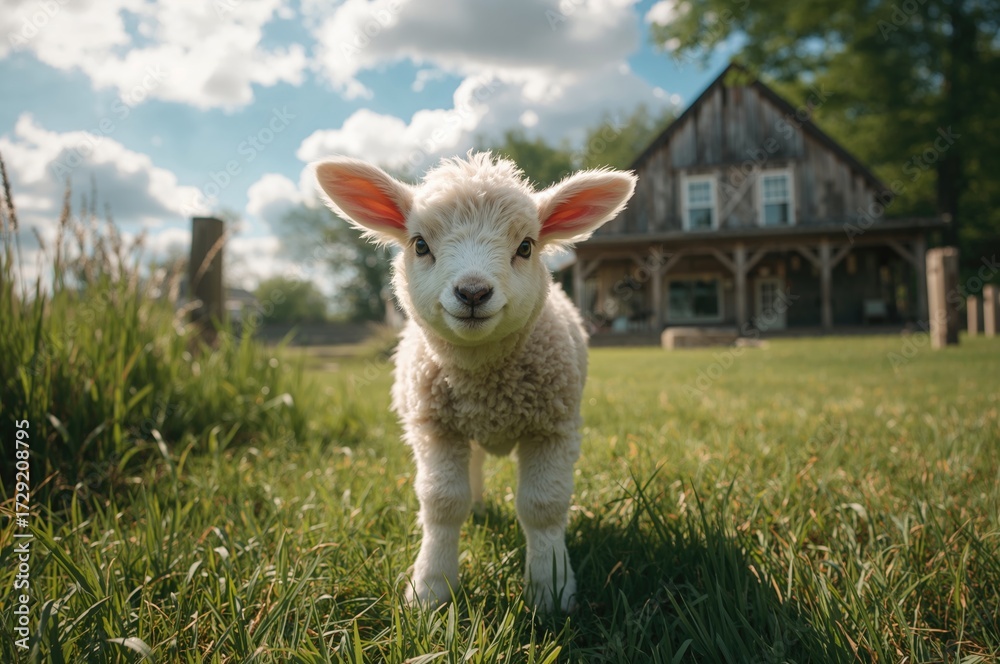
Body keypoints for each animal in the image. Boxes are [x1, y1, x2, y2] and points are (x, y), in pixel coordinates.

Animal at [315, 152, 636, 612]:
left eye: (526, 246)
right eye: (420, 245)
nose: (472, 292)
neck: (484, 378)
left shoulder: (552, 428)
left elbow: (544, 506)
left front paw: (552, 590)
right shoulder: (436, 429)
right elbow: (442, 503)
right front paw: (430, 590)